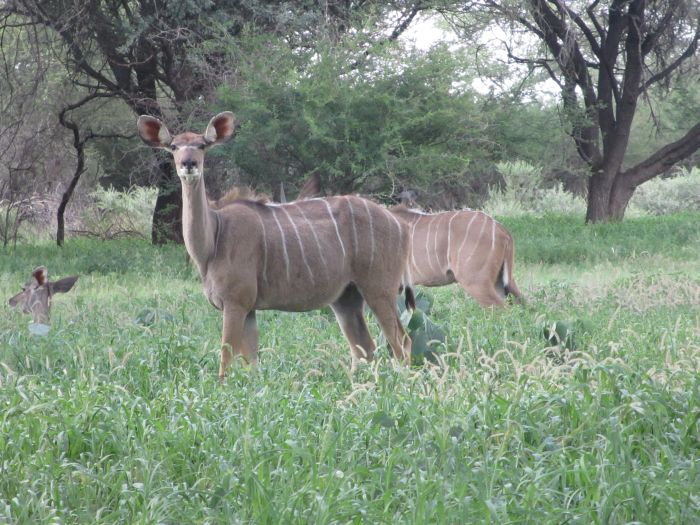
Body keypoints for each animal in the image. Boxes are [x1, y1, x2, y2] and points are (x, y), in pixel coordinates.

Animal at [139, 113, 416, 376]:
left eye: (202, 145)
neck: (215, 237)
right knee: (364, 349)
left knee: (401, 341)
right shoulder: (248, 310)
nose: (189, 164)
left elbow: (225, 362)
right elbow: (251, 363)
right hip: (346, 297)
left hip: (379, 289)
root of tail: (400, 225)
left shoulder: (235, 303)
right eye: (173, 146)